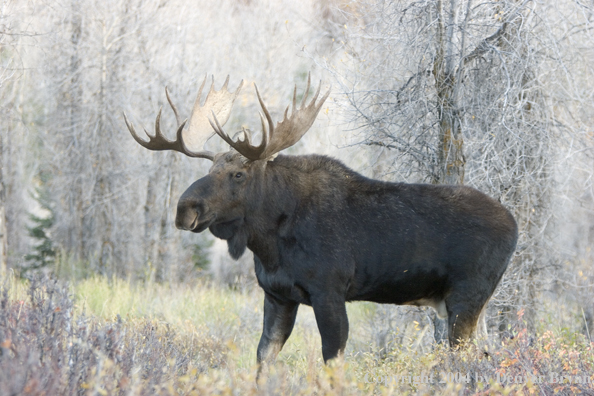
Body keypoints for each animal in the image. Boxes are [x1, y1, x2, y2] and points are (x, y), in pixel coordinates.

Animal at [122, 75, 516, 372]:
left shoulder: (329, 292)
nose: (184, 209)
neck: (269, 244)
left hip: (466, 296)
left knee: (468, 360)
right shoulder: (277, 295)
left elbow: (332, 361)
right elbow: (263, 358)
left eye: (237, 174)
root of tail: (515, 225)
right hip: (466, 304)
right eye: (209, 169)